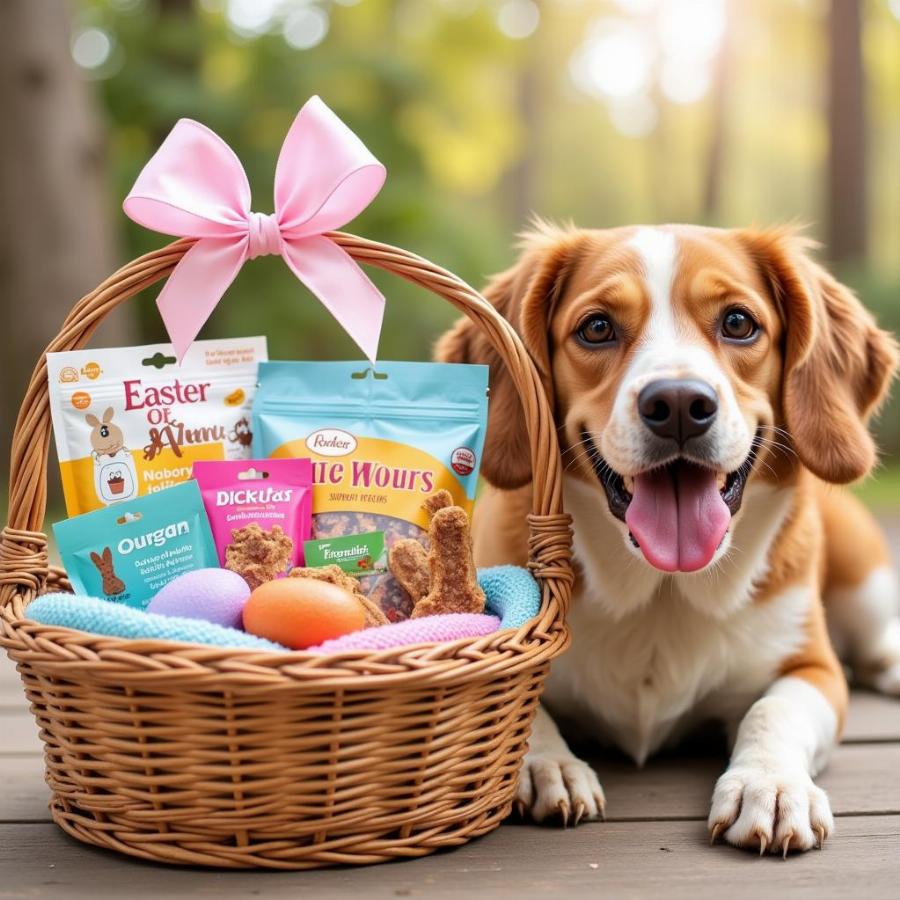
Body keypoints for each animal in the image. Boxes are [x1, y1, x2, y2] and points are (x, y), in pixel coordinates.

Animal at [438, 225, 900, 856]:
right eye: (597, 327)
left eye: (738, 322)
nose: (679, 404)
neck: (663, 591)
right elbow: (522, 700)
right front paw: (546, 764)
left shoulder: (815, 670)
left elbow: (773, 710)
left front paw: (771, 784)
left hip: (862, 576)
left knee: (877, 638)